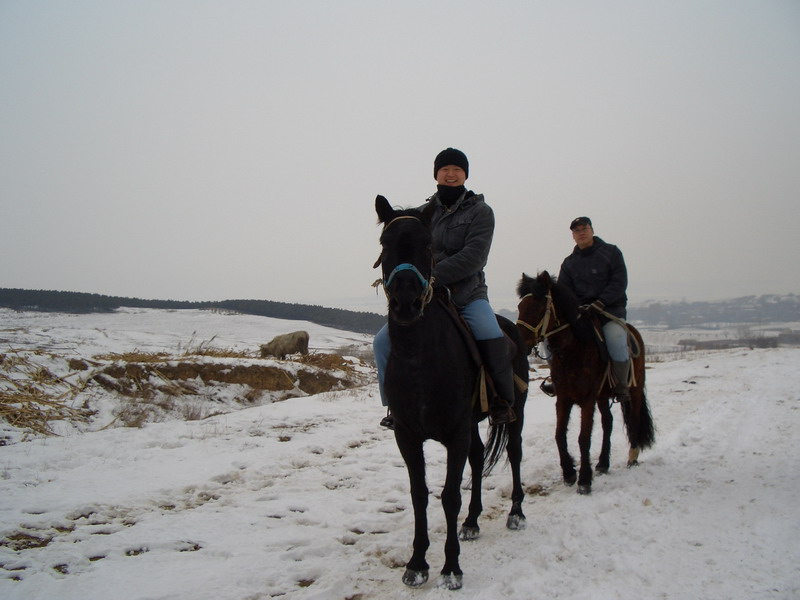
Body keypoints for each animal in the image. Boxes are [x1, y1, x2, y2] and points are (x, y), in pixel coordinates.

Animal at [376, 195, 532, 588]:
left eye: (428, 245)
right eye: (385, 244)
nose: (406, 303)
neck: (419, 358)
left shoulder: (456, 433)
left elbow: (448, 496)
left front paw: (450, 568)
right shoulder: (408, 435)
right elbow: (419, 495)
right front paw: (417, 563)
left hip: (515, 413)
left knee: (515, 453)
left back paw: (516, 514)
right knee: (477, 459)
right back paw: (473, 522)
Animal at [516, 270, 652, 492]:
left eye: (537, 307)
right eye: (520, 307)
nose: (519, 342)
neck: (574, 350)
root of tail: (633, 331)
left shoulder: (588, 400)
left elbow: (583, 437)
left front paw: (584, 480)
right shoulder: (563, 398)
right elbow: (559, 434)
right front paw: (569, 473)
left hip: (635, 390)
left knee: (634, 419)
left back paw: (632, 457)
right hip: (603, 396)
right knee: (608, 423)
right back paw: (603, 463)